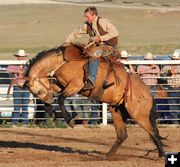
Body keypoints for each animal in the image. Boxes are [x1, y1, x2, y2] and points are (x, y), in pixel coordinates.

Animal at [23, 43, 166, 158]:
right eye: (35, 93)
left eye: (38, 92)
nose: (50, 98)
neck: (64, 62)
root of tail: (148, 93)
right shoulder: (61, 85)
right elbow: (56, 98)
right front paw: (52, 112)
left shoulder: (75, 85)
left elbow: (61, 99)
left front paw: (70, 120)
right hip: (117, 111)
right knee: (122, 135)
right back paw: (108, 155)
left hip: (139, 115)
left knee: (154, 132)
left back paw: (161, 155)